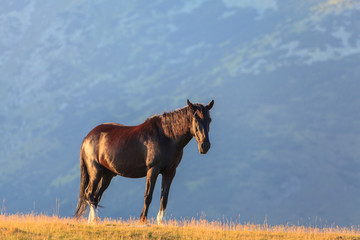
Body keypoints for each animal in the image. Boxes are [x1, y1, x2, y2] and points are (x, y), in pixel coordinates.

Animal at [73, 99, 214, 223]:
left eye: (209, 120)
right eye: (196, 119)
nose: (205, 146)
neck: (167, 137)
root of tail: (87, 138)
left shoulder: (170, 172)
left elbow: (164, 197)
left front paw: (161, 221)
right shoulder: (153, 170)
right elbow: (148, 196)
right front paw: (143, 220)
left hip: (107, 175)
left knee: (96, 196)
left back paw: (92, 221)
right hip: (95, 172)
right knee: (89, 193)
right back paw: (94, 220)